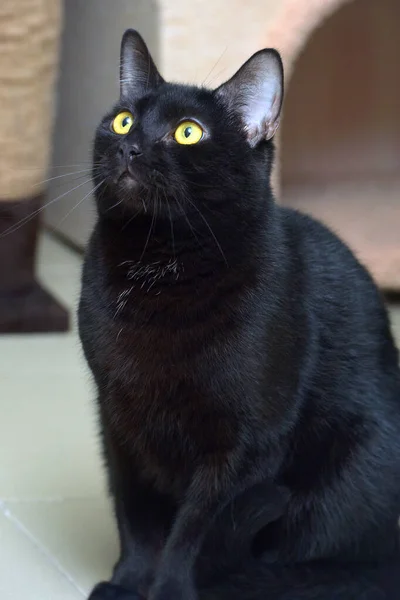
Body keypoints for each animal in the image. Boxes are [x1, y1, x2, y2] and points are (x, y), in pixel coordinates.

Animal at [79, 29, 400, 600]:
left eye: (188, 132)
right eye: (123, 120)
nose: (129, 146)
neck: (159, 272)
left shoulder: (245, 446)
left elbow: (192, 533)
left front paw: (167, 593)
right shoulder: (117, 421)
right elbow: (135, 516)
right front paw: (127, 583)